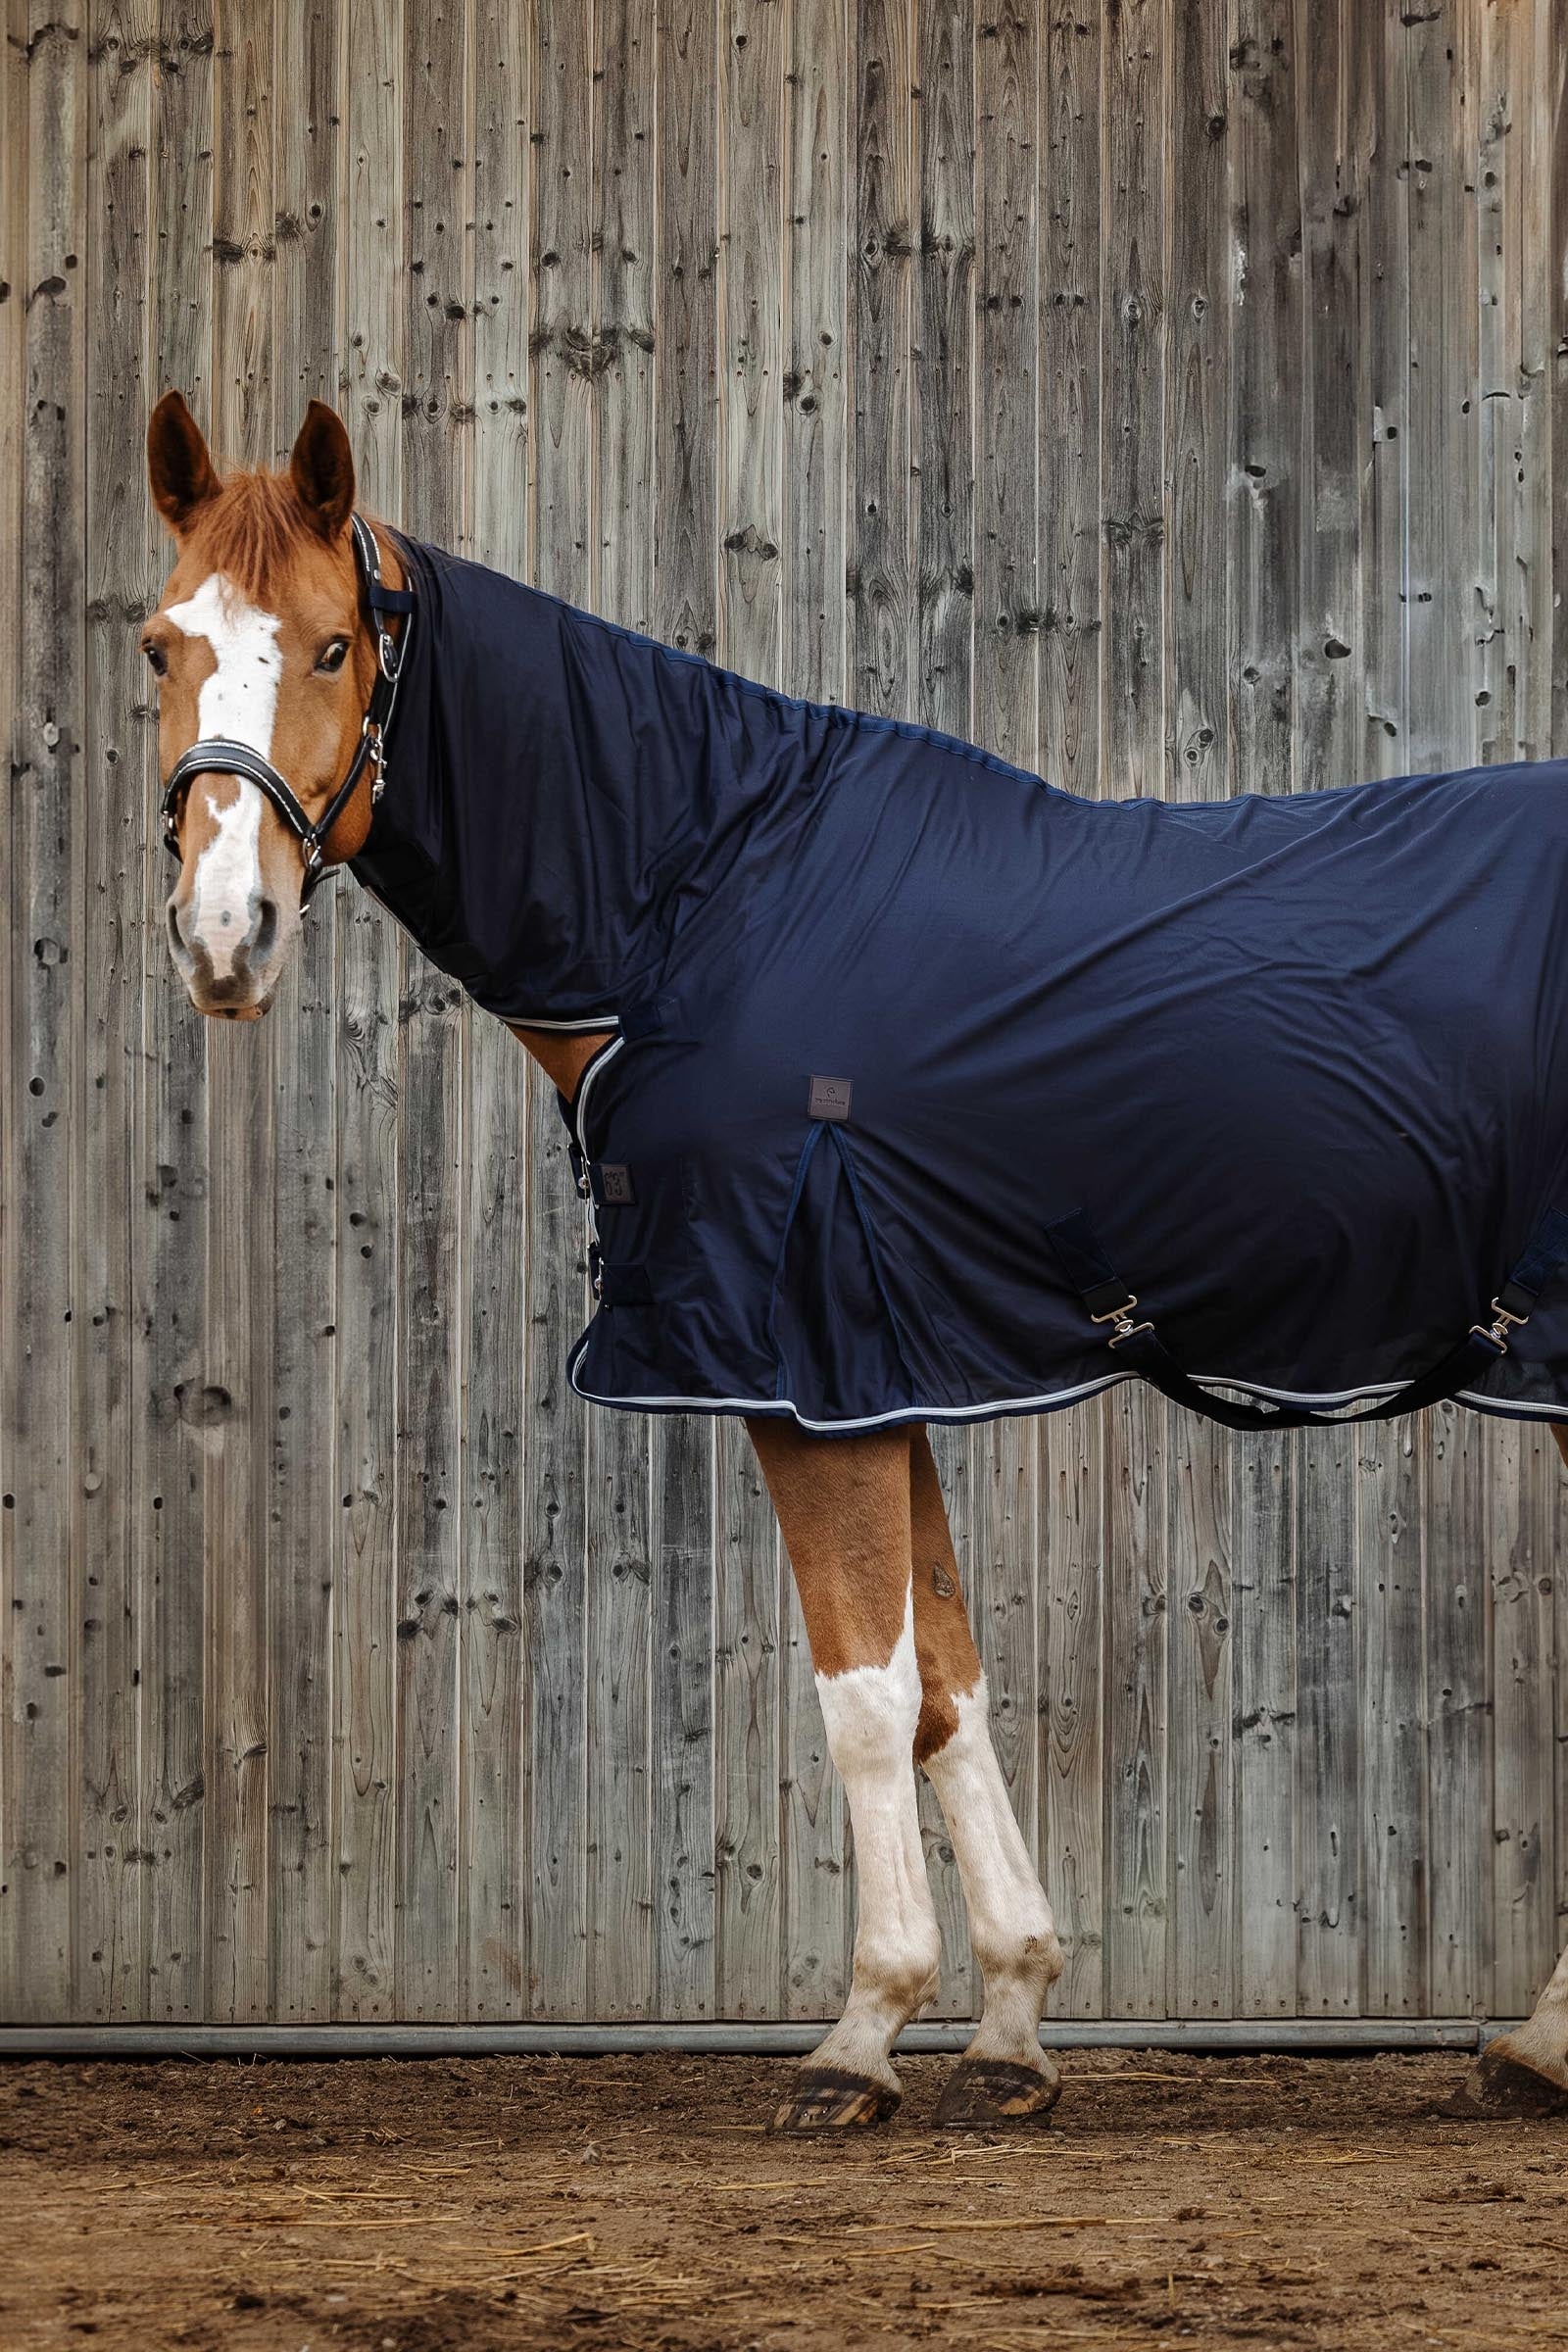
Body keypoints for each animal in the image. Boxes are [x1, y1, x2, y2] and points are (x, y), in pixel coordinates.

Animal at [143, 389, 1568, 2127]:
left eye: (337, 644)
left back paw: (1544, 2045)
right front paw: (1013, 2024)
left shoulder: (798, 1364)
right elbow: (948, 1684)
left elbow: (865, 1698)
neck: (701, 901)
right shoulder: (882, 1367)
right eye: (159, 645)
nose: (226, 938)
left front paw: (864, 2035)